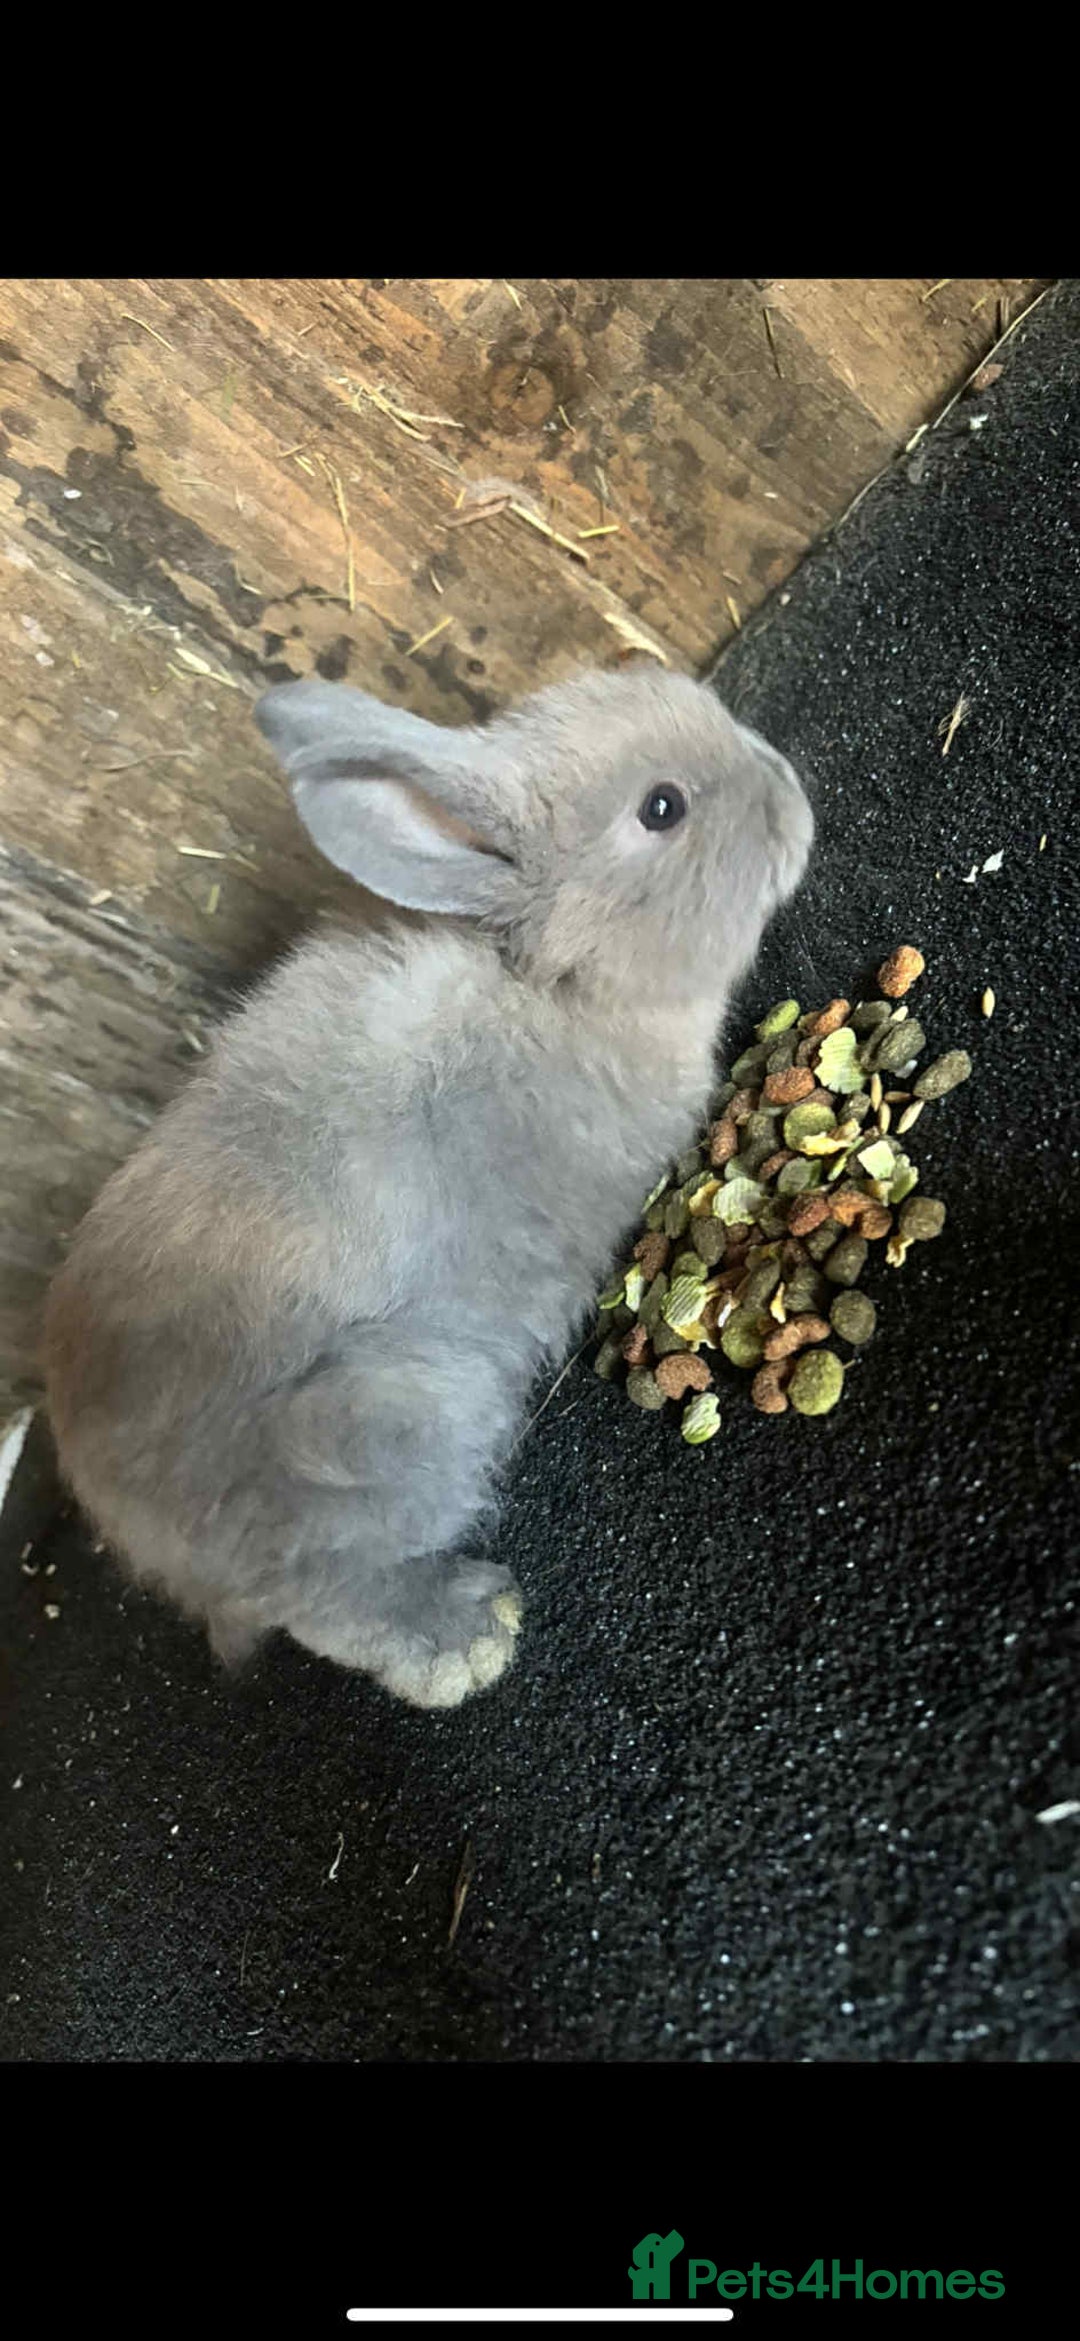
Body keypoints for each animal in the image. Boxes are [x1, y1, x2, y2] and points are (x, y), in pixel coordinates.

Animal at [42, 664, 813, 1709]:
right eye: (663, 807)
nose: (790, 796)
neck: (557, 987)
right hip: (409, 1415)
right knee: (332, 1596)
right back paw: (469, 1637)